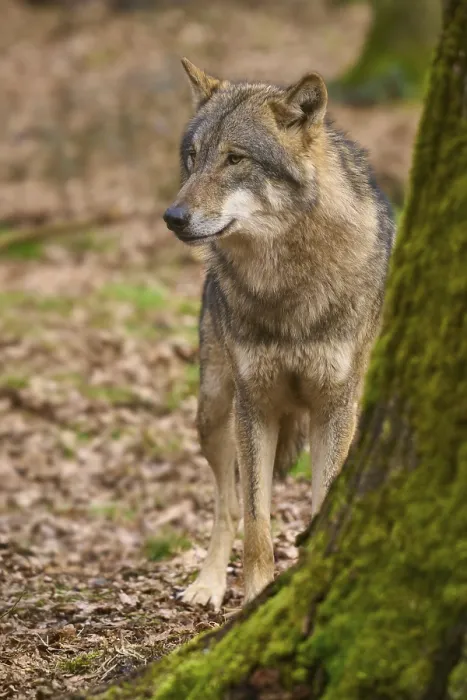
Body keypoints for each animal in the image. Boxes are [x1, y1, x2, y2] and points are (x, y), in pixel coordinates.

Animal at [163, 58, 395, 610]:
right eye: (193, 158)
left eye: (235, 159)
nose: (173, 217)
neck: (286, 286)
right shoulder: (256, 404)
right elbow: (256, 526)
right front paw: (254, 600)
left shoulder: (335, 407)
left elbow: (322, 503)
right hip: (212, 412)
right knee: (227, 504)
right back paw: (207, 585)